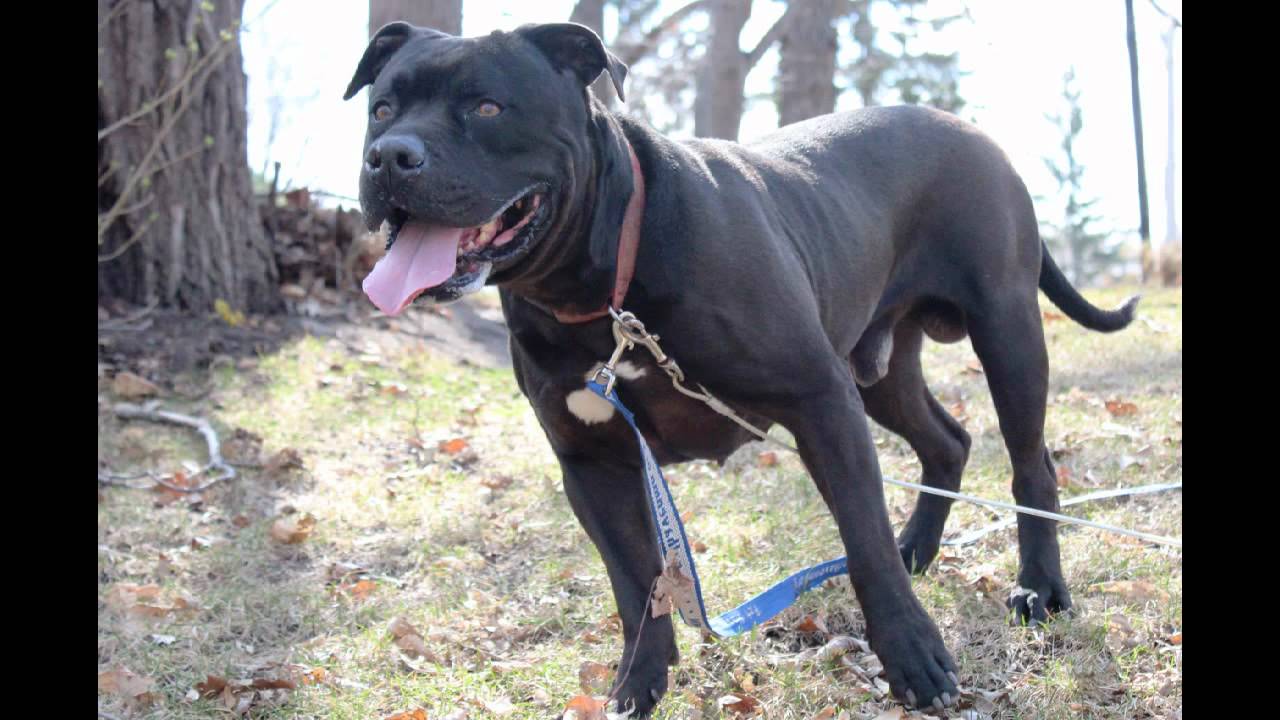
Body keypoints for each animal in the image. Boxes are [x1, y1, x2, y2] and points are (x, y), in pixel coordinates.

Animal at [345, 20, 1136, 712]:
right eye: (381, 109)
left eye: (486, 106)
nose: (388, 156)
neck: (603, 285)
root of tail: (972, 130)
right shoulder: (592, 463)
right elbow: (635, 585)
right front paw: (638, 685)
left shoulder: (821, 403)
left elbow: (865, 545)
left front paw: (914, 660)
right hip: (879, 368)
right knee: (948, 441)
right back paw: (920, 546)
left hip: (1005, 330)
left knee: (1031, 465)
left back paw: (1039, 588)